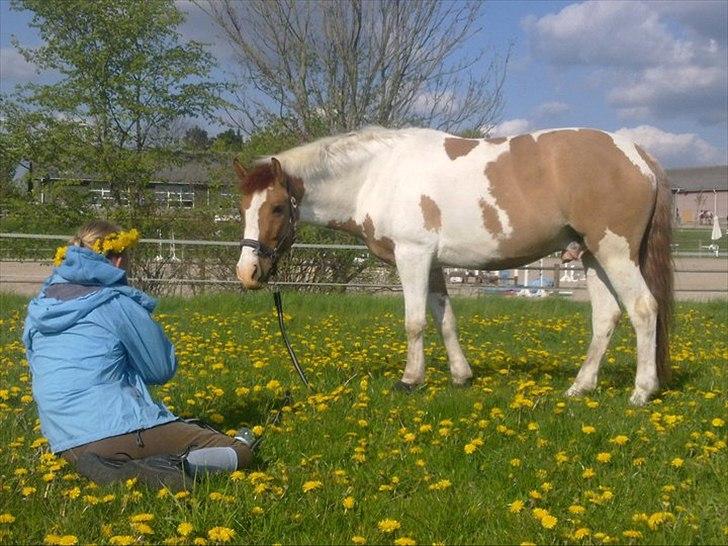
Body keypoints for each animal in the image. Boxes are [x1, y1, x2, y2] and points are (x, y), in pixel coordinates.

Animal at [233, 125, 672, 402]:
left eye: (276, 207)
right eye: (242, 207)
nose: (247, 273)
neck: (379, 174)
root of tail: (637, 154)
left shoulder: (412, 255)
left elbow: (415, 322)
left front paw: (410, 380)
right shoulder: (433, 263)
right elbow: (445, 318)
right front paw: (461, 376)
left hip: (614, 252)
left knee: (643, 309)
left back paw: (641, 391)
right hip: (592, 256)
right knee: (606, 317)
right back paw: (581, 387)